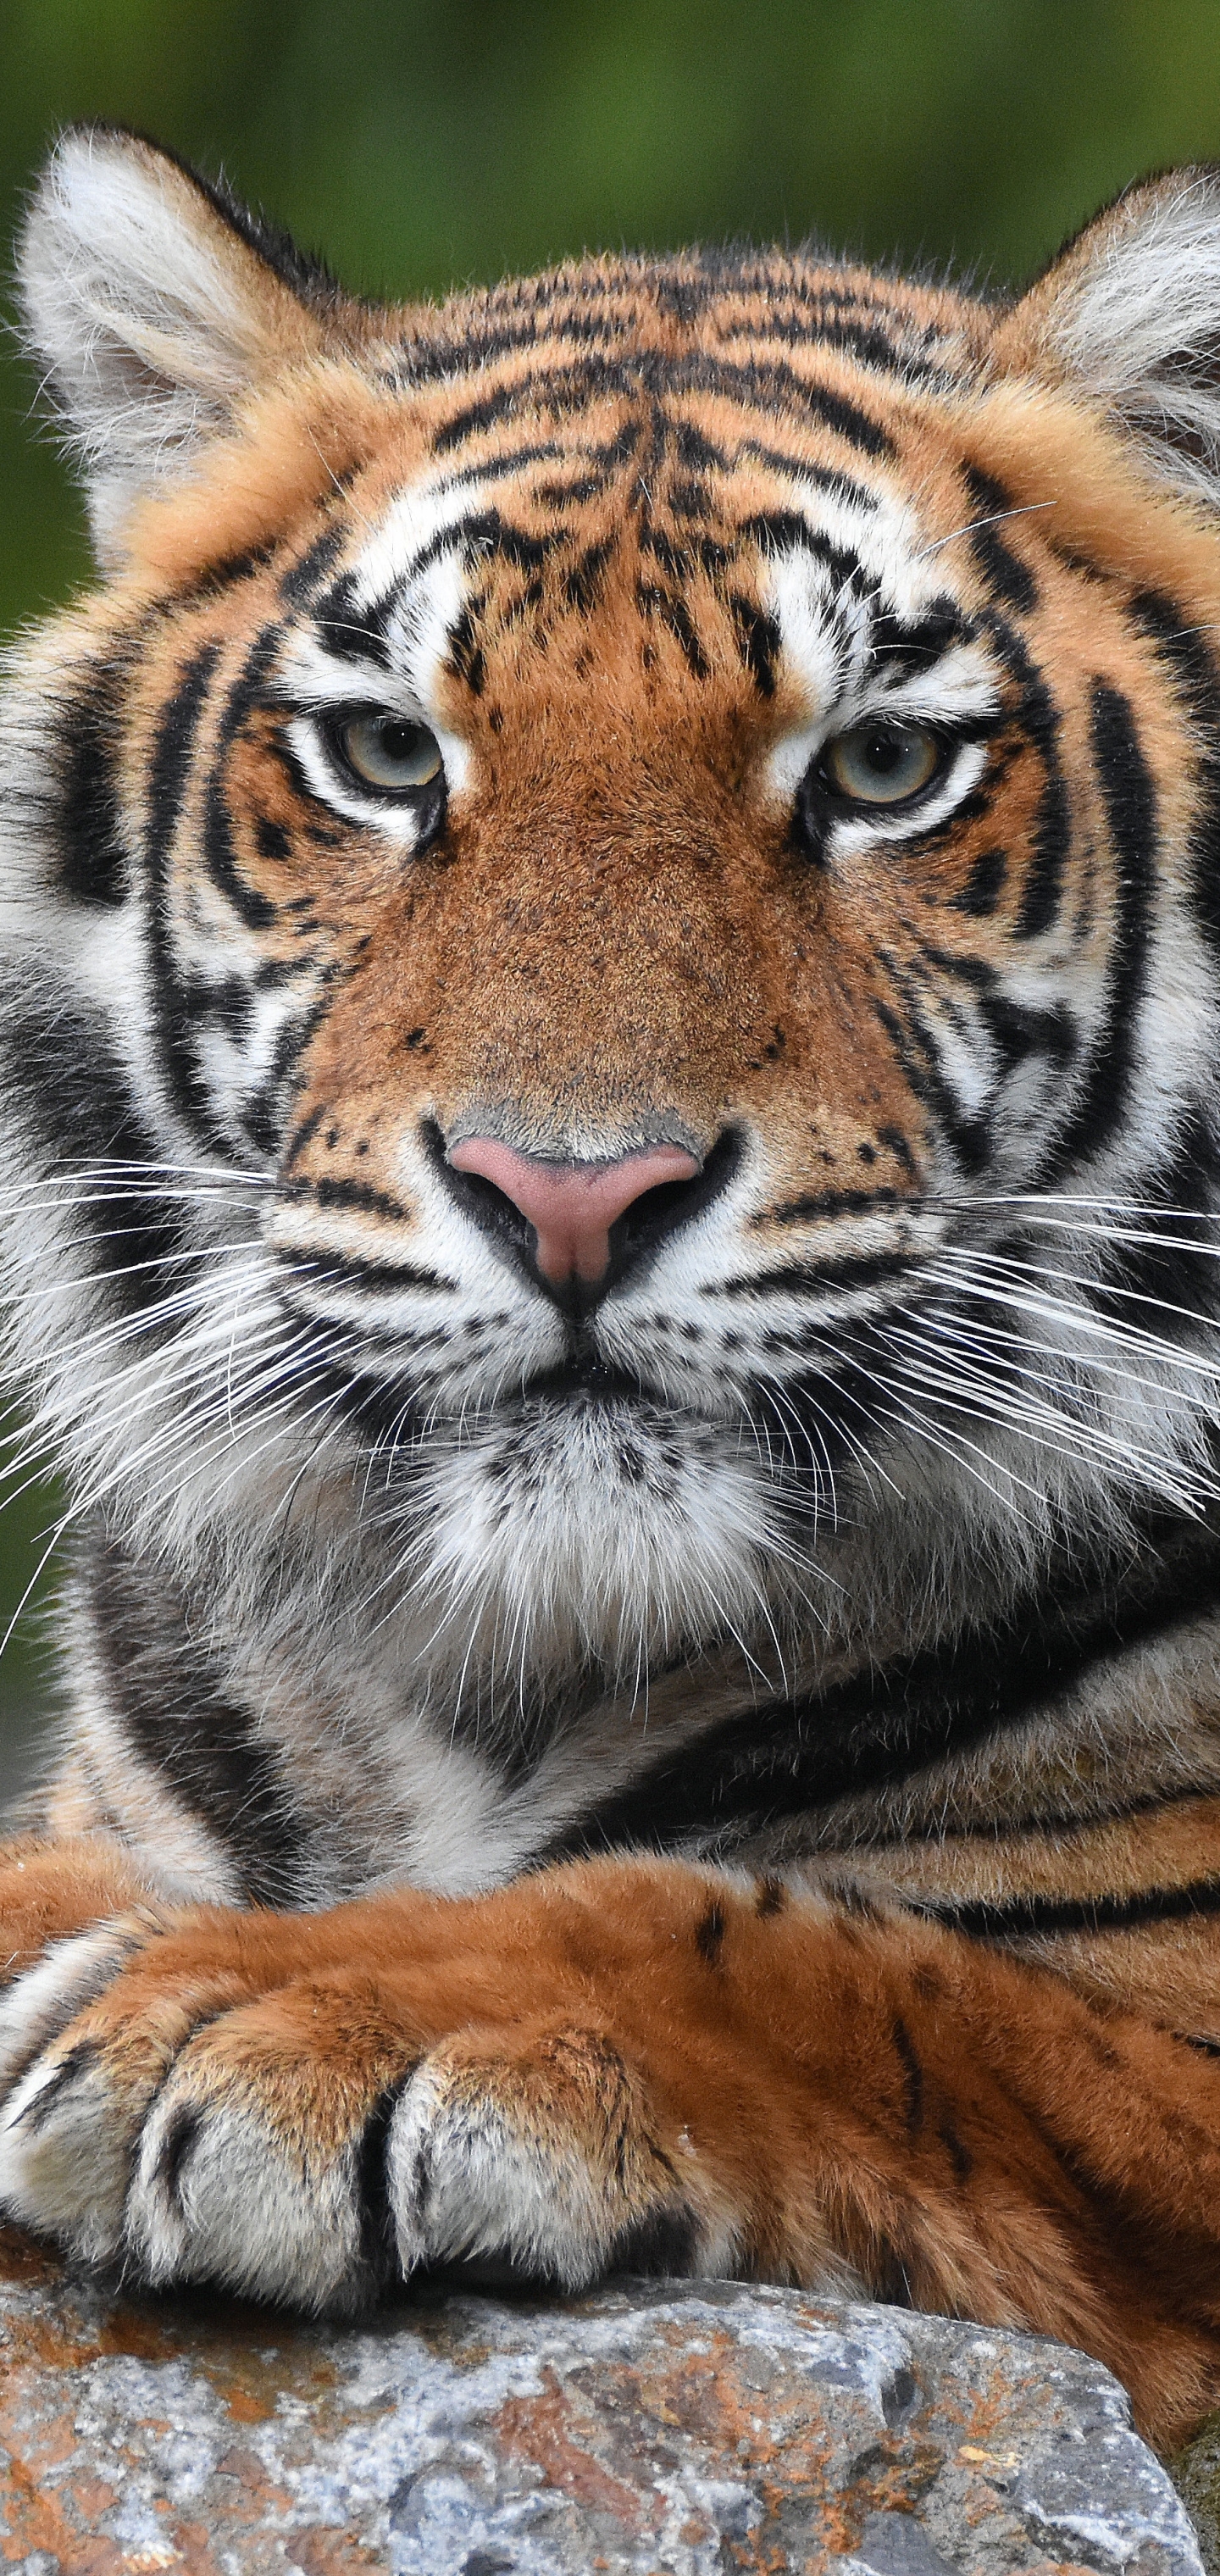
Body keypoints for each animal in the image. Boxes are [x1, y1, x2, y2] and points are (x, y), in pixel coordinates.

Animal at [12, 120, 1220, 2441]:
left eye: (881, 766)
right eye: (387, 756)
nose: (570, 1196)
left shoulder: (1164, 2015)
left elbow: (786, 1948)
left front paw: (260, 2018)